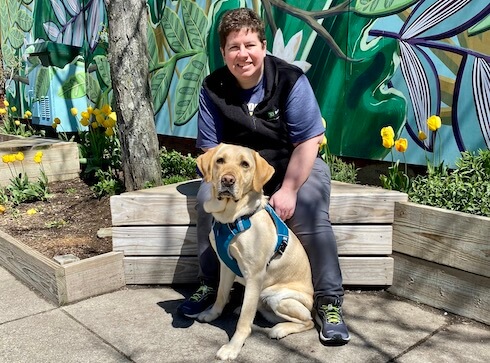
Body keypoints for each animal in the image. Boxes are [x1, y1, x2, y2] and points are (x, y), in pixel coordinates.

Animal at [196, 144, 314, 362]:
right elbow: (221, 295)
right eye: (220, 161)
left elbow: (244, 321)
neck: (232, 218)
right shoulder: (226, 266)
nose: (227, 180)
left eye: (245, 164)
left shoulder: (254, 275)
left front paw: (232, 347)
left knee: (308, 321)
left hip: (277, 297)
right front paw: (212, 314)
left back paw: (279, 329)